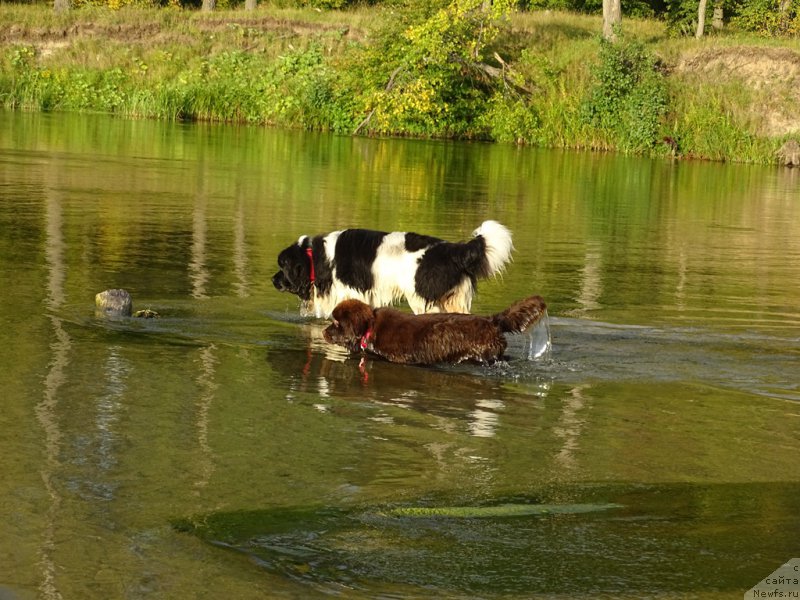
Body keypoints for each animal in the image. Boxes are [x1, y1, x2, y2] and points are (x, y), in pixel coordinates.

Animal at [274, 220, 512, 318]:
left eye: (282, 266)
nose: (273, 280)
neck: (317, 256)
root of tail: (452, 250)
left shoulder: (351, 291)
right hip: (454, 299)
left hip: (421, 298)